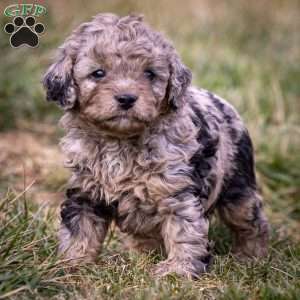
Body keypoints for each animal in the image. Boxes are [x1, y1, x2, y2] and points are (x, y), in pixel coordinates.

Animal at [42, 12, 270, 278]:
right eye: (98, 73)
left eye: (149, 74)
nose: (126, 98)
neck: (119, 142)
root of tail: (222, 101)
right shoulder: (85, 192)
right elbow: (80, 230)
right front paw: (71, 265)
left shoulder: (178, 192)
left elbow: (184, 232)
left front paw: (178, 270)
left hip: (238, 187)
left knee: (251, 221)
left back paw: (251, 257)